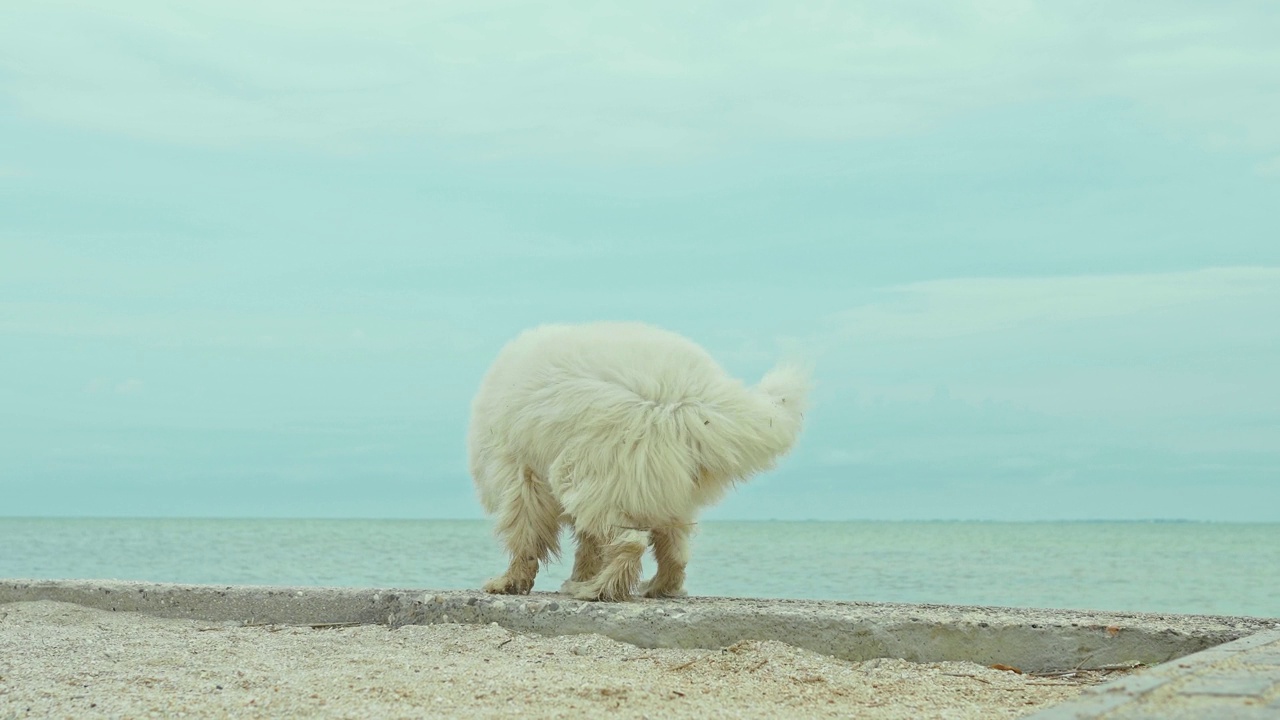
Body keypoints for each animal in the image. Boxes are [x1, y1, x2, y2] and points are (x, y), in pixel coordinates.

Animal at [468, 320, 808, 599]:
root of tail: (689, 397)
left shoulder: (522, 477)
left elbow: (525, 538)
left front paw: (509, 582)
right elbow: (588, 545)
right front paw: (578, 575)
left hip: (589, 472)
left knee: (629, 540)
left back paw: (597, 590)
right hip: (661, 487)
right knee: (674, 549)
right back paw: (659, 587)